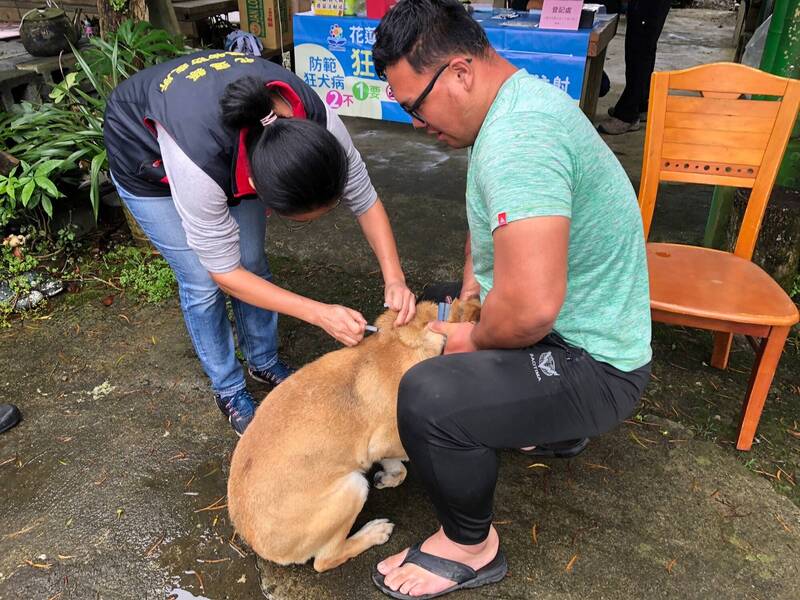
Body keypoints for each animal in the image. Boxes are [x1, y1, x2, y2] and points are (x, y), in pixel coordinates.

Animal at [225, 300, 478, 572]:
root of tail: (257, 544)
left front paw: (388, 477)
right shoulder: (385, 442)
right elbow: (399, 464)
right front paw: (393, 474)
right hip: (353, 487)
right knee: (325, 560)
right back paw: (372, 533)